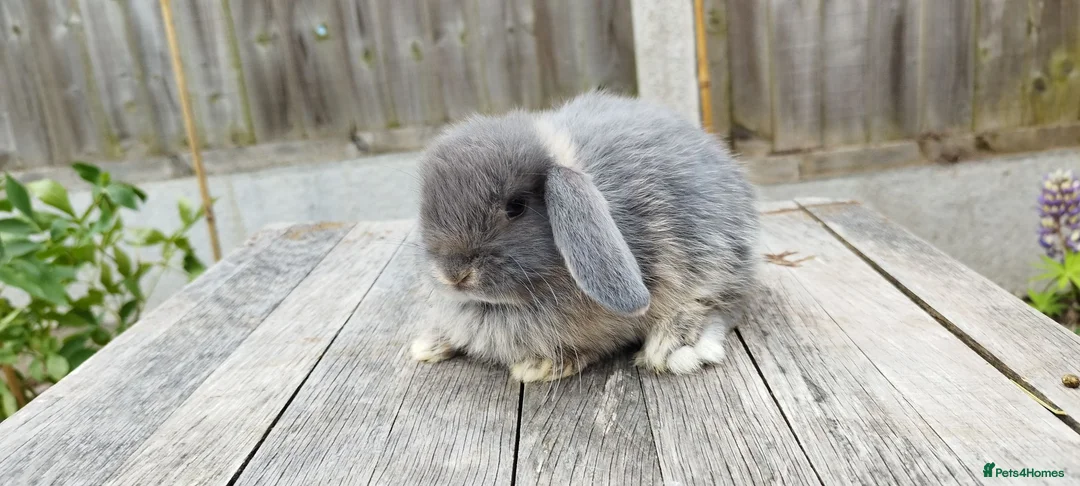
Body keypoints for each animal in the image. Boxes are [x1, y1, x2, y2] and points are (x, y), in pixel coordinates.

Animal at [409, 90, 760, 383]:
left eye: (516, 207)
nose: (453, 274)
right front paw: (429, 344)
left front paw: (539, 367)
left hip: (719, 261)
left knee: (725, 302)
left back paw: (675, 346)